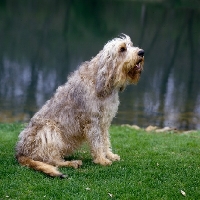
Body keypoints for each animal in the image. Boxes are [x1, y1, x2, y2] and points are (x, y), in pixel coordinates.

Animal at [15, 34, 144, 178]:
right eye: (122, 49)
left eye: (130, 44)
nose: (141, 52)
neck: (103, 82)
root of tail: (20, 153)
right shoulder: (92, 122)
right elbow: (97, 142)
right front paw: (102, 159)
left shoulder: (104, 122)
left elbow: (105, 140)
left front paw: (109, 155)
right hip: (49, 130)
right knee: (52, 160)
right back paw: (71, 163)